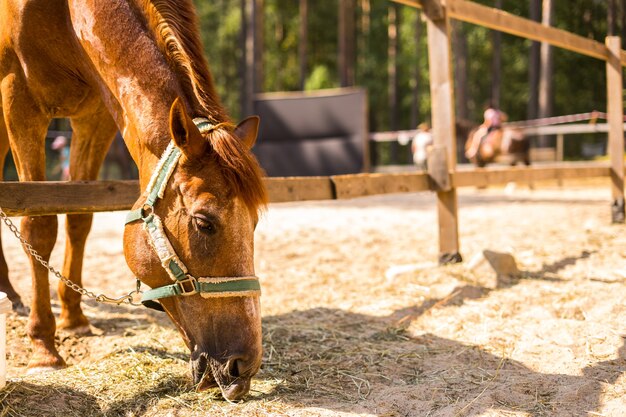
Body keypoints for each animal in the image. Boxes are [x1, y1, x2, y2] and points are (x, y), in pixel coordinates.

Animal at [0, 0, 266, 400]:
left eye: (254, 222)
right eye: (204, 223)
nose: (244, 366)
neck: (65, 13)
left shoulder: (96, 115)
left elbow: (79, 217)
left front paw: (73, 320)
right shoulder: (19, 97)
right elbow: (39, 224)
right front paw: (44, 347)